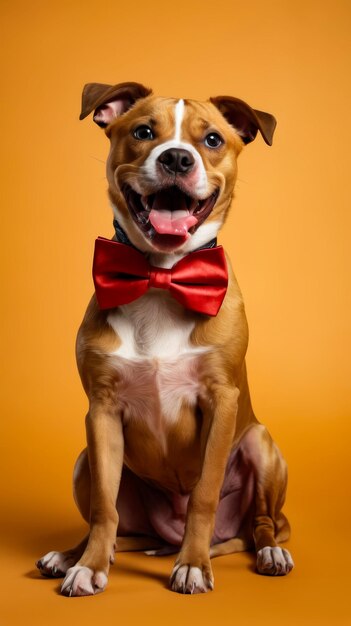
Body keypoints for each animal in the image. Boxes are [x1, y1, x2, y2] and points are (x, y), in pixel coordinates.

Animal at [36, 83, 294, 596]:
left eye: (212, 139)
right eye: (143, 132)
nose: (176, 158)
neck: (160, 277)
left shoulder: (221, 403)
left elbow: (204, 495)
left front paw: (193, 565)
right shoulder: (102, 410)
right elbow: (104, 508)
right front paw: (89, 567)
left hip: (261, 445)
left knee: (261, 523)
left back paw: (269, 551)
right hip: (84, 461)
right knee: (117, 525)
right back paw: (71, 554)